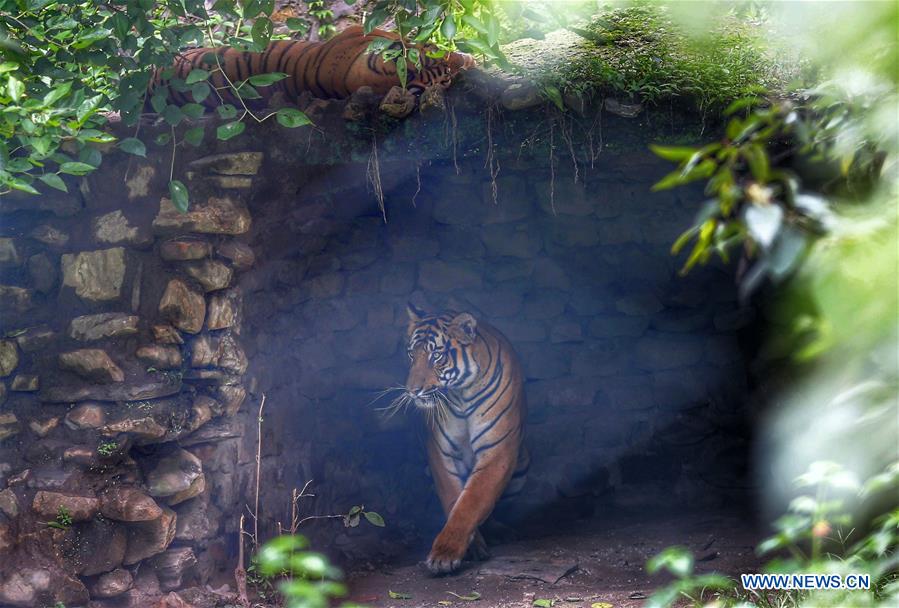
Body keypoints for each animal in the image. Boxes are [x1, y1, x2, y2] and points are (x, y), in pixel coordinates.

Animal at [398, 304, 530, 574]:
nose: (412, 391)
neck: (461, 395)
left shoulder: (498, 450)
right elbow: (453, 499)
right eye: (411, 355)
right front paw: (467, 548)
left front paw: (445, 554)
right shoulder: (442, 452)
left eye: (436, 356)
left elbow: (473, 501)